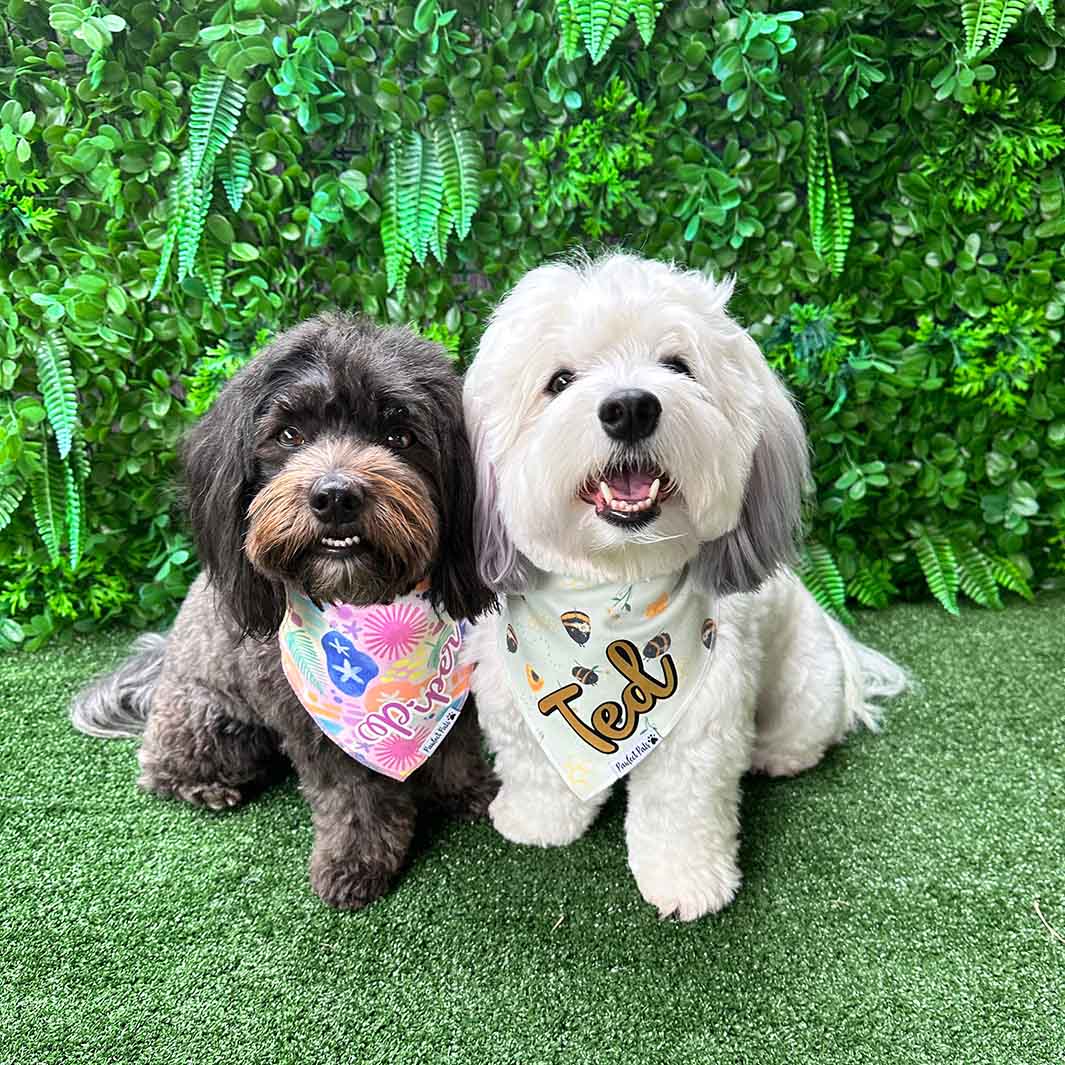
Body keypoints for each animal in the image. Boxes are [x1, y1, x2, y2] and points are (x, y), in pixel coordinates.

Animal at [460, 253, 907, 920]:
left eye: (677, 366)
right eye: (559, 381)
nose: (630, 407)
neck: (611, 593)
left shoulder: (703, 721)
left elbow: (680, 808)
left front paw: (686, 882)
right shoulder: (512, 689)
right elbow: (534, 764)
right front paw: (538, 821)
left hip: (803, 687)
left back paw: (775, 757)